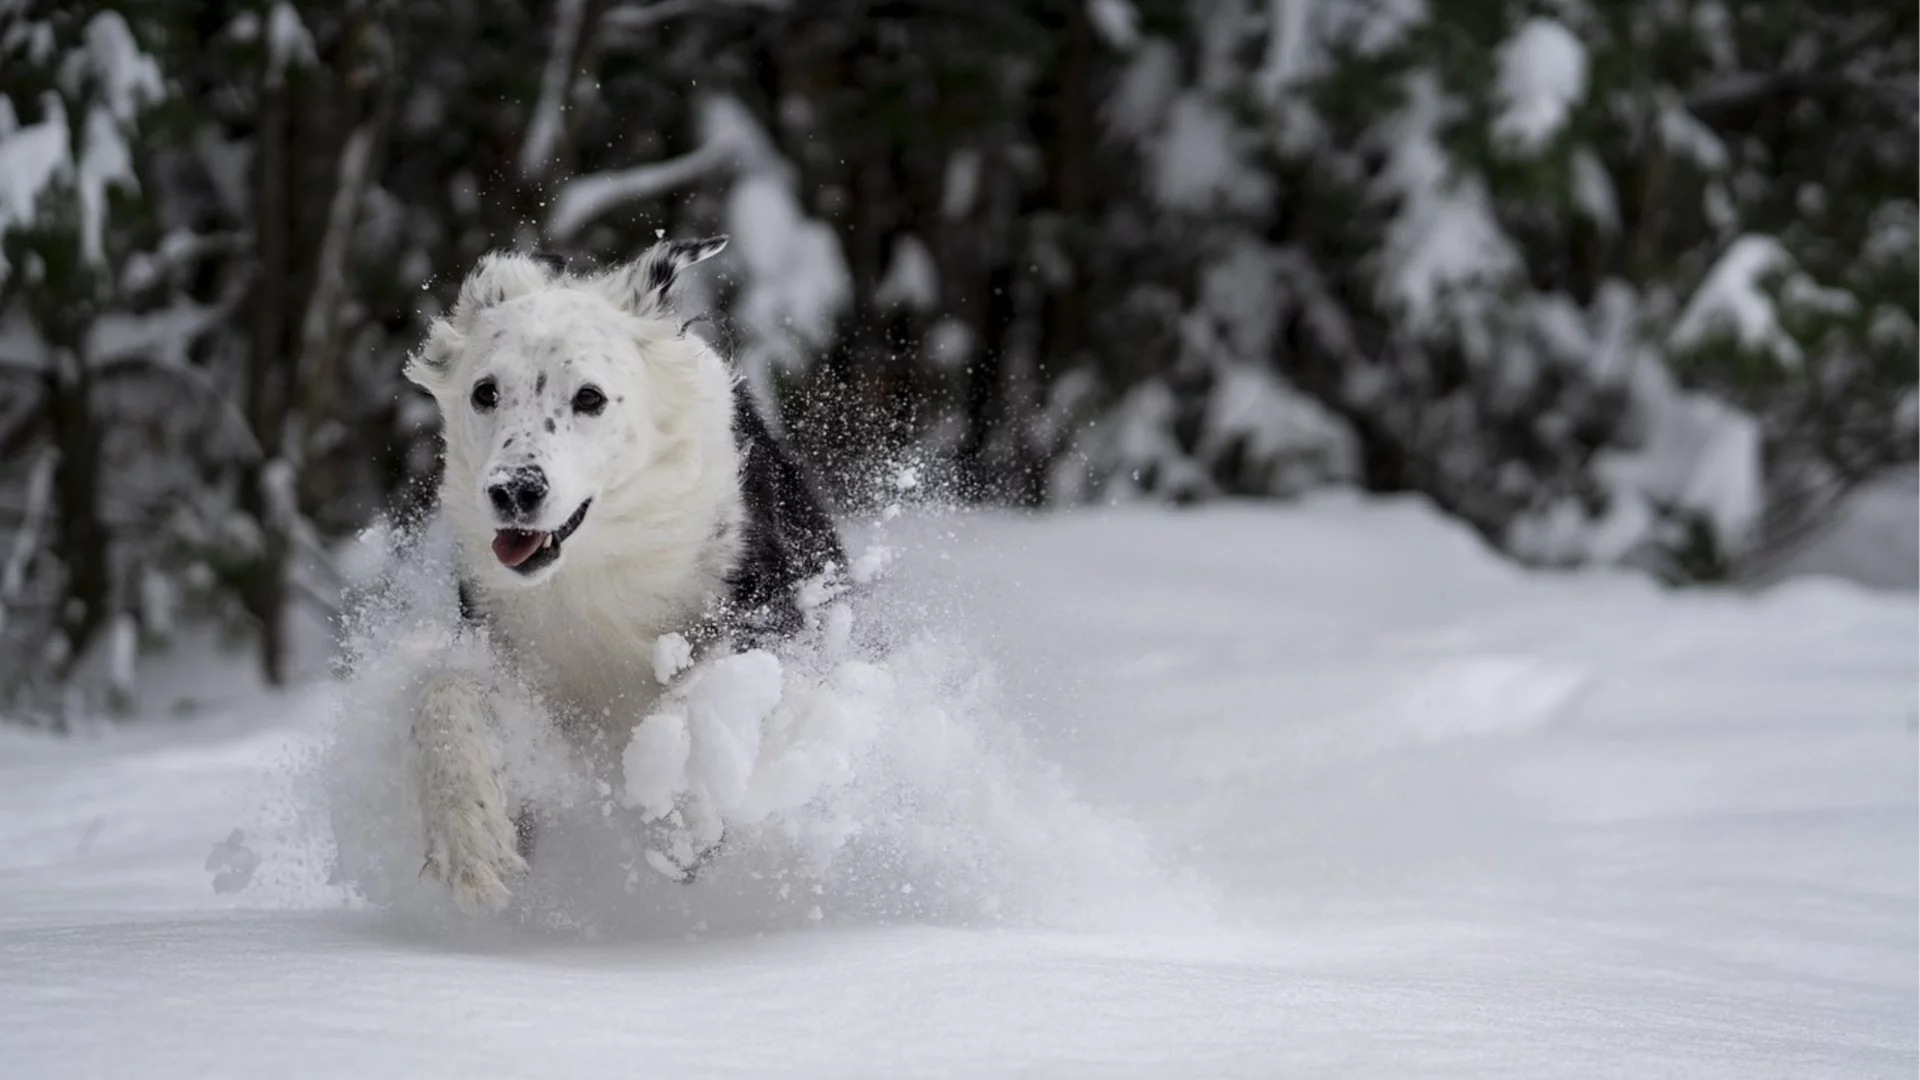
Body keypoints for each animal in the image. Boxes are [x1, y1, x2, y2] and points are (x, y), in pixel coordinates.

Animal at [397, 235, 840, 907]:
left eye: (590, 398)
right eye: (485, 392)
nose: (514, 490)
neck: (596, 564)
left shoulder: (771, 615)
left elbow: (697, 690)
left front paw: (679, 814)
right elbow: (444, 693)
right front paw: (469, 838)